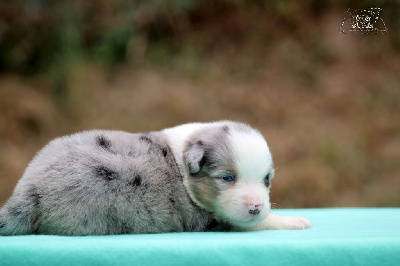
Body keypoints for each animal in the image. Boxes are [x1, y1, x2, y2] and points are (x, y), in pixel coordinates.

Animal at [0, 120, 312, 235]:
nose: (256, 206)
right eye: (227, 178)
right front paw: (295, 220)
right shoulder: (217, 220)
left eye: (266, 180)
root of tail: (28, 190)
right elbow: (258, 223)